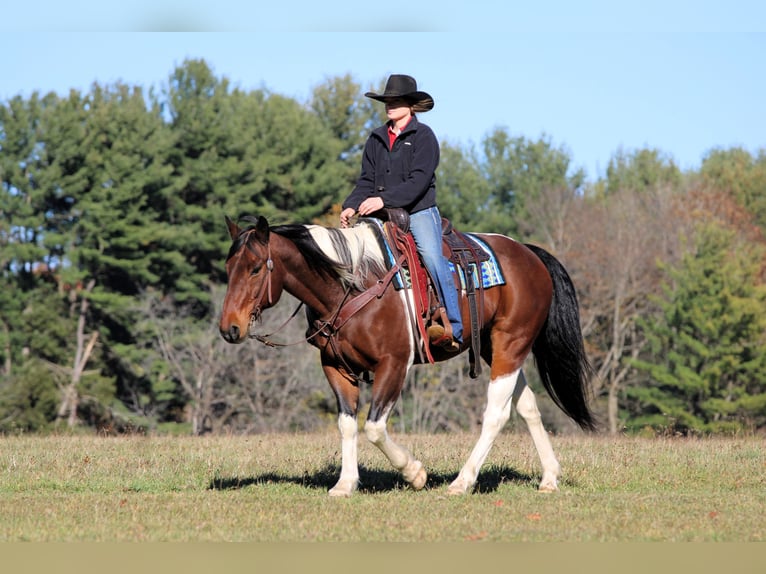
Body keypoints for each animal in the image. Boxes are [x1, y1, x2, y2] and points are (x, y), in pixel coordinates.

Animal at [219, 214, 596, 497]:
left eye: (256, 268)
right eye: (228, 266)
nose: (229, 328)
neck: (352, 287)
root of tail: (530, 255)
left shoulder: (394, 364)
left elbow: (373, 427)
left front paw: (414, 473)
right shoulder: (335, 367)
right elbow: (347, 424)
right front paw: (345, 483)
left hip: (511, 342)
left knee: (496, 414)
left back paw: (462, 481)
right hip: (494, 346)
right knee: (526, 405)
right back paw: (549, 477)